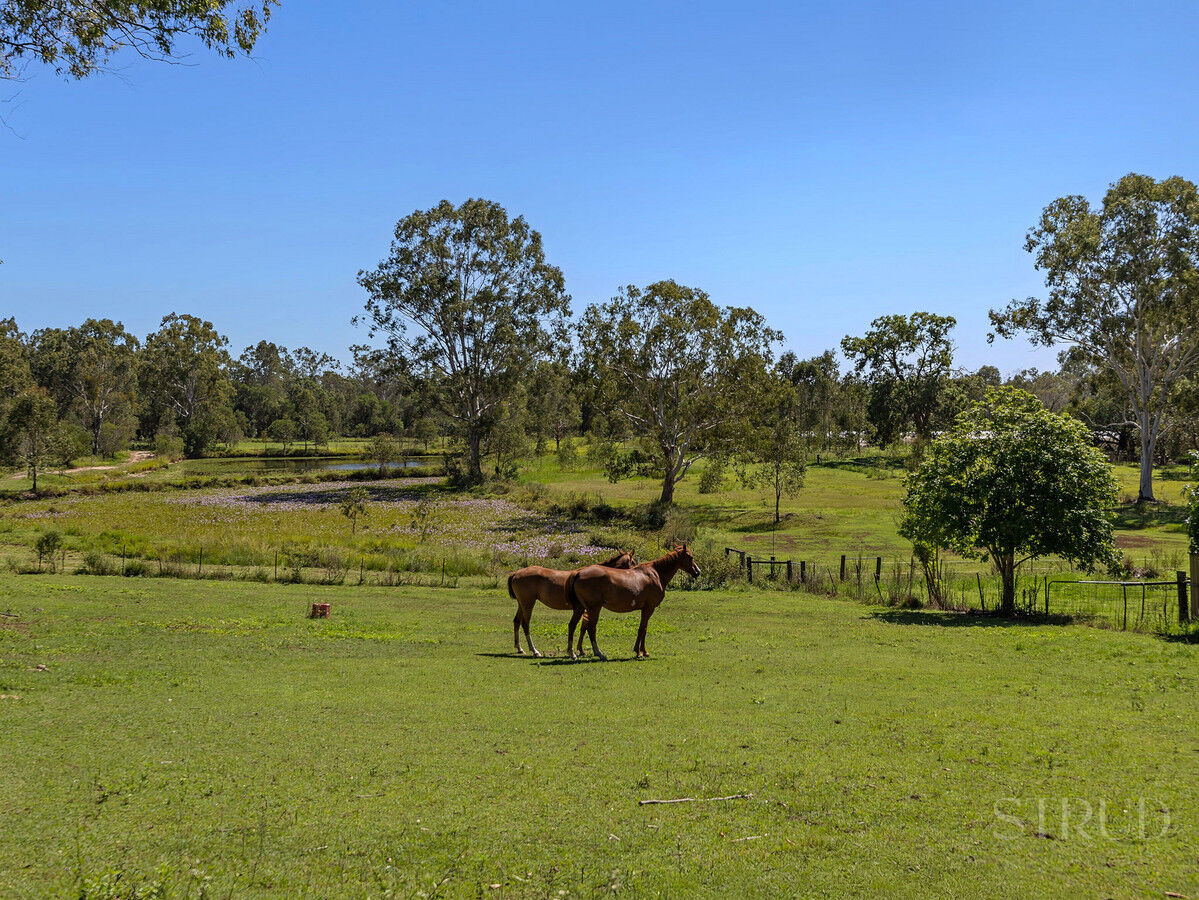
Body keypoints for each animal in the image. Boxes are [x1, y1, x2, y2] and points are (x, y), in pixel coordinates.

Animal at [564, 544, 701, 661]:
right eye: (690, 557)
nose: (698, 572)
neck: (655, 574)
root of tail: (578, 573)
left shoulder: (646, 609)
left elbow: (644, 628)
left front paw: (643, 651)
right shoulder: (649, 608)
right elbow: (642, 628)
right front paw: (640, 652)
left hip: (581, 609)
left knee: (573, 625)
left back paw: (572, 652)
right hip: (594, 608)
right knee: (591, 628)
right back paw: (598, 653)